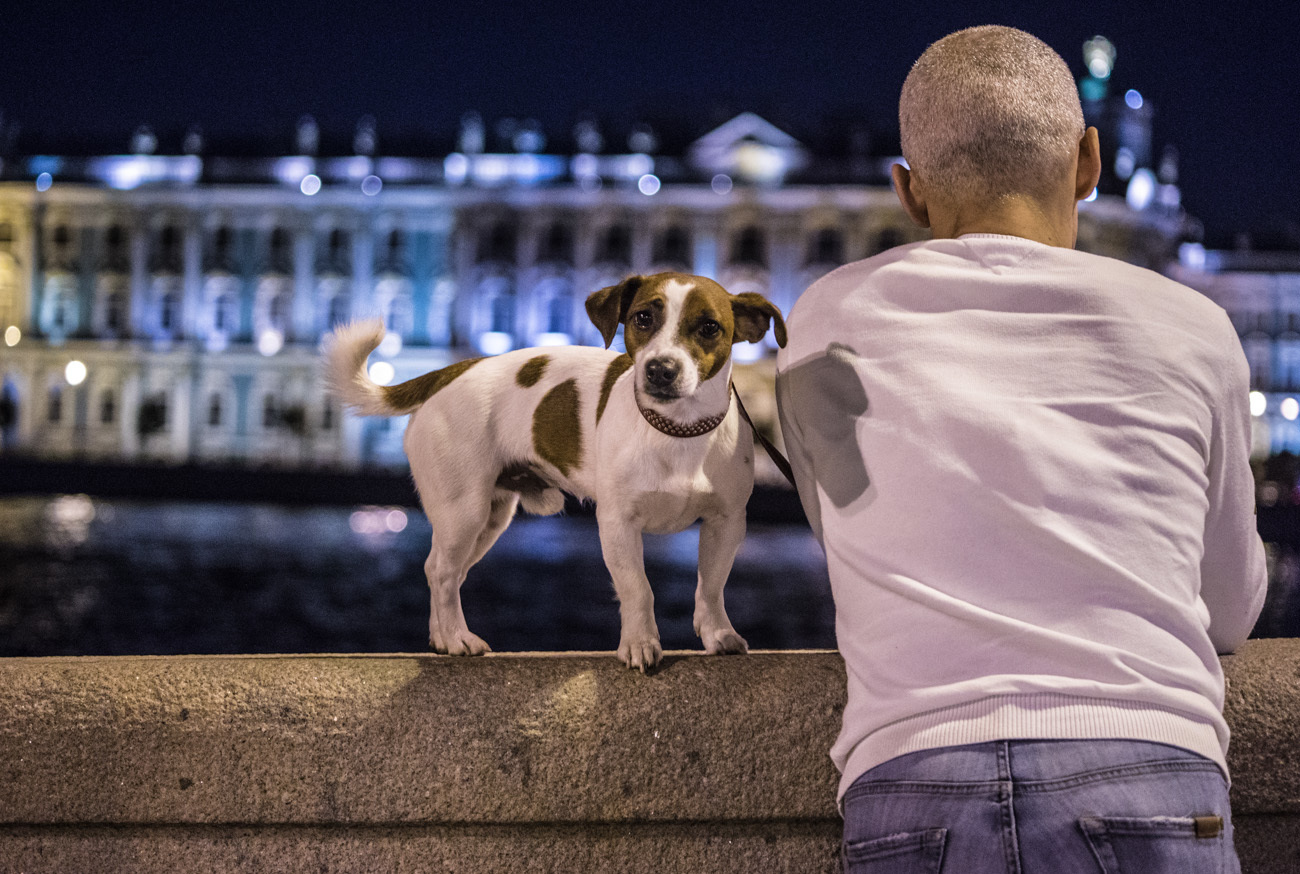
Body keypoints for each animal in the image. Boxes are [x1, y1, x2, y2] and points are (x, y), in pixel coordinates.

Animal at [330, 271, 785, 671]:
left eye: (709, 327)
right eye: (642, 318)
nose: (660, 369)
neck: (676, 429)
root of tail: (452, 370)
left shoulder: (726, 523)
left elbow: (711, 586)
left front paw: (717, 634)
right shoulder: (618, 523)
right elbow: (638, 589)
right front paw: (640, 643)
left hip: (489, 519)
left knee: (442, 569)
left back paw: (442, 638)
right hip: (463, 511)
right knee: (442, 573)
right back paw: (458, 639)